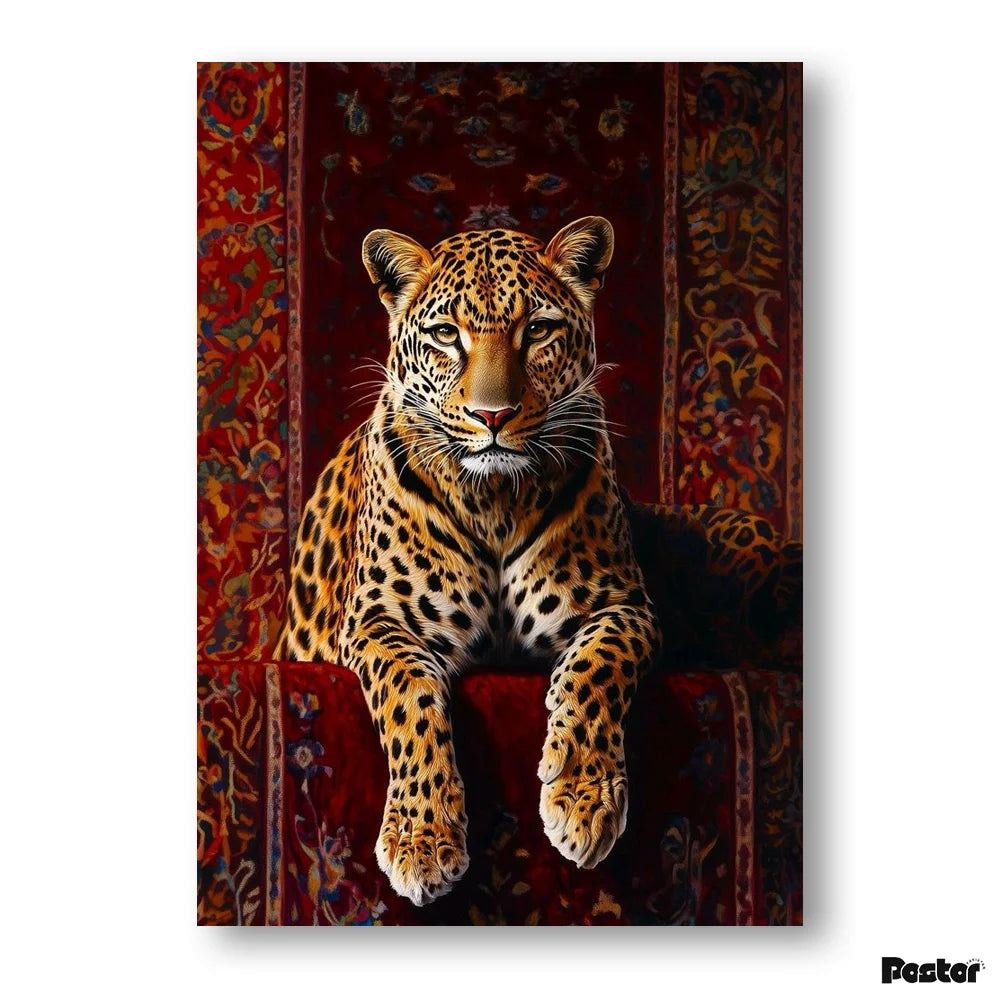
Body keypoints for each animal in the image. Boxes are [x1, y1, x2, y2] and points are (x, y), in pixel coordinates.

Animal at [280, 216, 662, 906]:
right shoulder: (380, 619)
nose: (493, 416)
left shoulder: (625, 605)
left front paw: (583, 800)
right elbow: (410, 690)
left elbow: (598, 667)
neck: (497, 499)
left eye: (535, 330)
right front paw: (422, 838)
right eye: (444, 336)